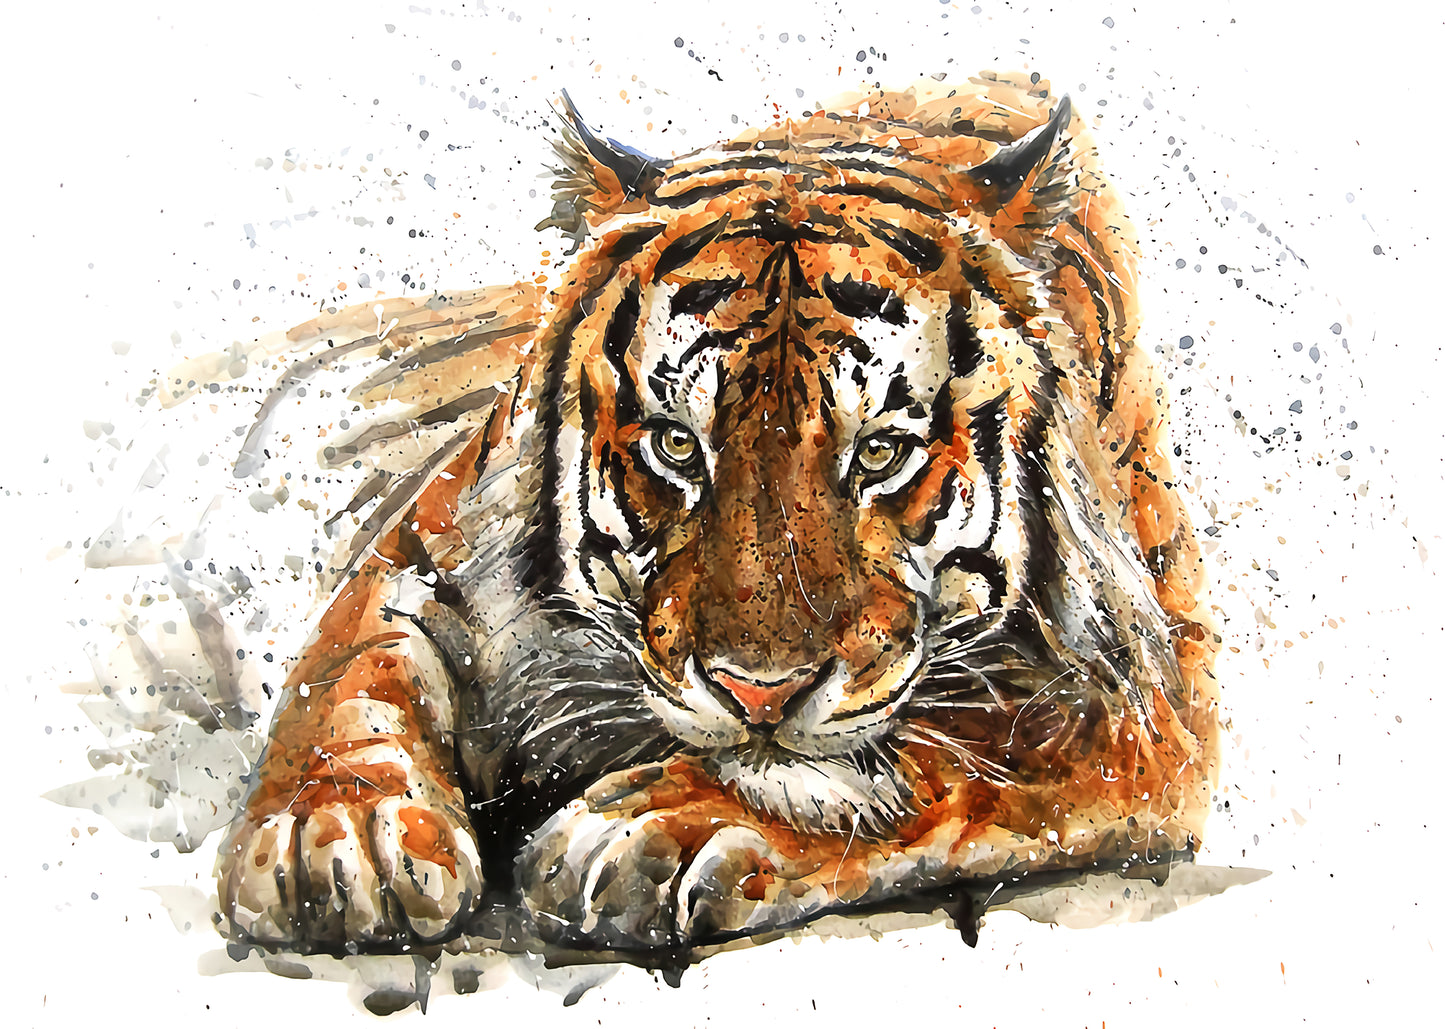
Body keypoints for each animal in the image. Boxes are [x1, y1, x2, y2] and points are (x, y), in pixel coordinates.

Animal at [216, 71, 1221, 962]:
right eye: (676, 445)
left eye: (879, 454)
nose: (759, 695)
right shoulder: (431, 541)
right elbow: (351, 666)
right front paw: (337, 830)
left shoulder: (1142, 700)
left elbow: (954, 754)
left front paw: (659, 823)